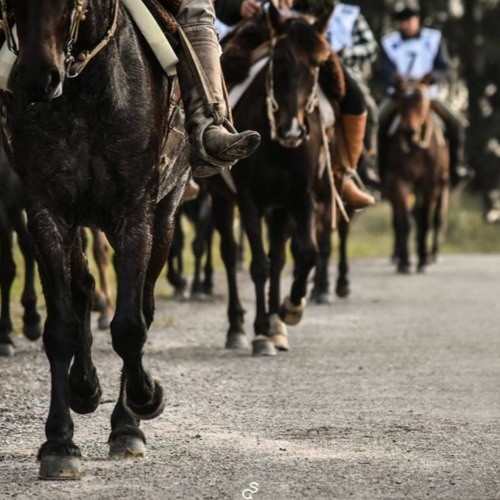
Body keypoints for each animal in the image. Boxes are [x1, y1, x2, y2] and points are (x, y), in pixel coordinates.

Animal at [382, 76, 450, 274]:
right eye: (400, 100)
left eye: (421, 100)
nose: (409, 133)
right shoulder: (399, 181)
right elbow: (405, 221)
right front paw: (404, 262)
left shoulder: (430, 185)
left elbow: (425, 221)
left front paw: (422, 261)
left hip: (440, 186)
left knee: (434, 219)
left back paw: (431, 255)